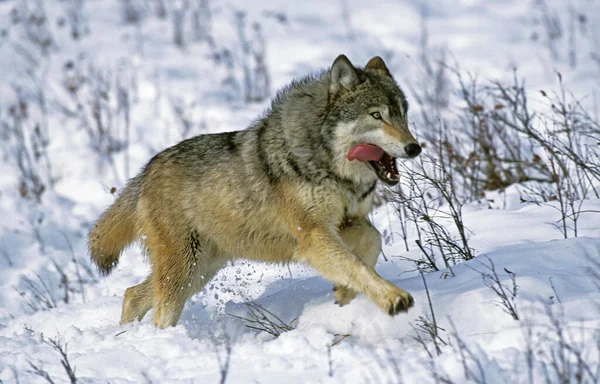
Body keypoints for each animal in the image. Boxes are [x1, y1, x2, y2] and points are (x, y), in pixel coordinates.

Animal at [90, 54, 422, 328]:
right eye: (376, 115)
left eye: (403, 114)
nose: (414, 148)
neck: (328, 165)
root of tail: (146, 170)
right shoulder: (313, 236)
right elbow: (356, 264)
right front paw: (393, 298)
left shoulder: (342, 224)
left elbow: (372, 241)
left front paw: (344, 293)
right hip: (184, 271)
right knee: (157, 308)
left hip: (200, 269)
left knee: (132, 293)